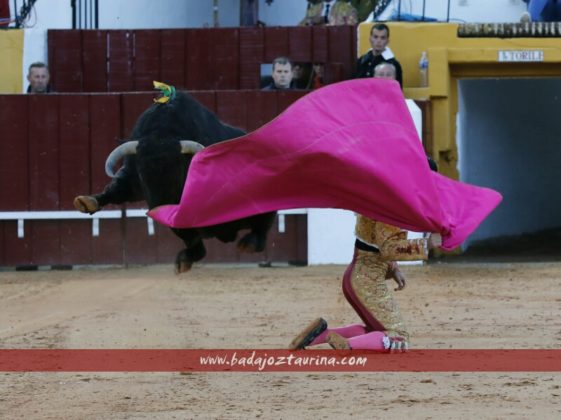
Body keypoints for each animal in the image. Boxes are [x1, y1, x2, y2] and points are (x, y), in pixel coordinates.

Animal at [74, 91, 276, 272]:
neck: (162, 133)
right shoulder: (133, 179)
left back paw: (249, 243)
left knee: (261, 224)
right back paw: (185, 260)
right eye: (142, 174)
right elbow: (118, 189)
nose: (161, 209)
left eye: (177, 172)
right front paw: (87, 202)